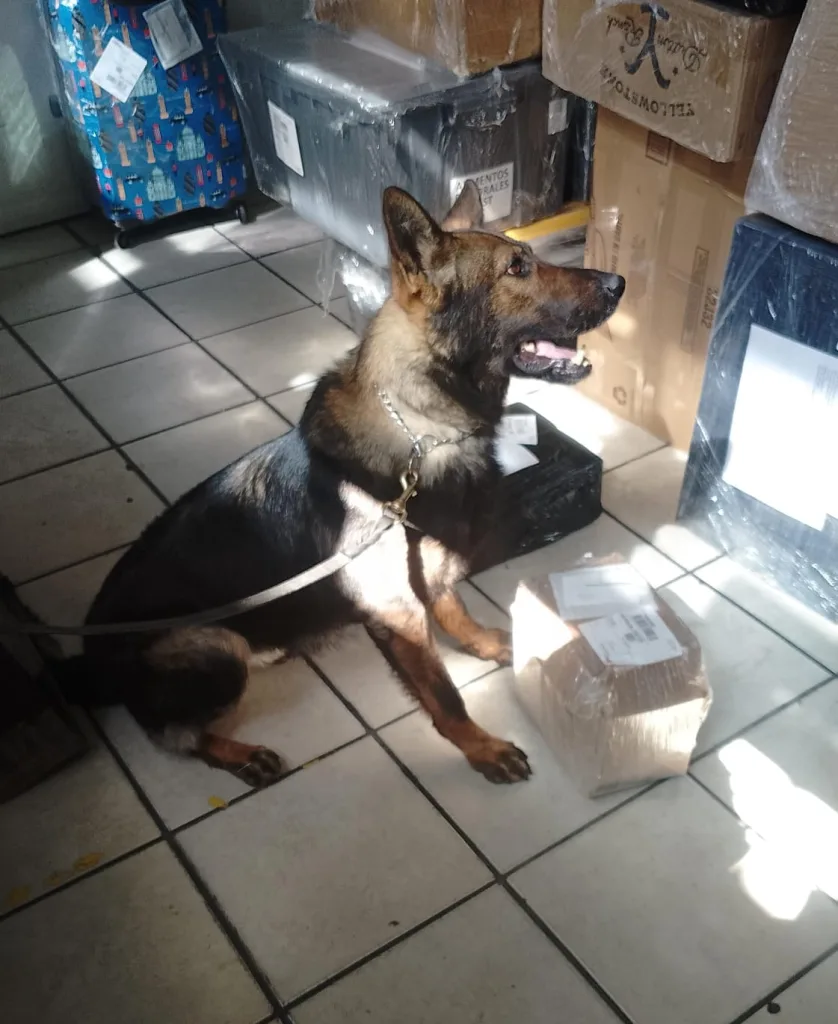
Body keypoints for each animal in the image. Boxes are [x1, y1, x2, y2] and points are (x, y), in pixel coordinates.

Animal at [72, 182, 624, 787]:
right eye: (517, 267)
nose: (619, 283)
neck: (422, 432)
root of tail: (87, 659)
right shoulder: (399, 615)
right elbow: (445, 696)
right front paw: (481, 748)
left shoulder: (431, 575)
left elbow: (455, 610)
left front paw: (484, 643)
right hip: (217, 649)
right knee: (176, 735)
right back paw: (239, 753)